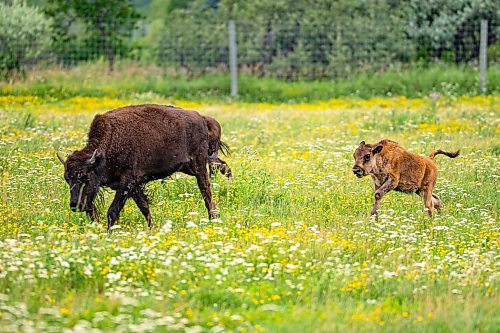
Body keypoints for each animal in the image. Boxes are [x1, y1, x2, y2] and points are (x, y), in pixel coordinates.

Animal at [57, 104, 230, 231]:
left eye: (85, 176)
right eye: (67, 179)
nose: (75, 205)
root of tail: (202, 118)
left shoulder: (126, 183)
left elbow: (113, 211)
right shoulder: (134, 186)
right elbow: (144, 207)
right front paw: (151, 228)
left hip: (198, 167)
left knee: (206, 192)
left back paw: (213, 218)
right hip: (187, 167)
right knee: (219, 167)